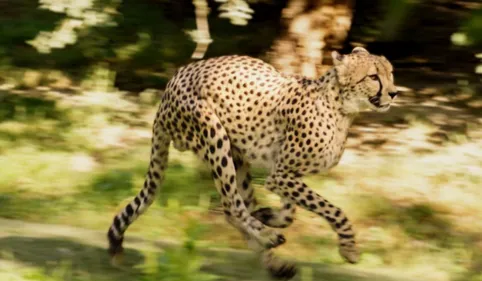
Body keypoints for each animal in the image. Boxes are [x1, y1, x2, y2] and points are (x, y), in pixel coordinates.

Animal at [107, 46, 398, 278]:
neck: (340, 107)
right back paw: (268, 236)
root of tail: (172, 82)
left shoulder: (285, 174)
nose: (395, 93)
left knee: (237, 207)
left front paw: (267, 215)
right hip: (215, 137)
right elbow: (334, 210)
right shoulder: (280, 175)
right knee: (232, 206)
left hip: (238, 158)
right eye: (373, 76)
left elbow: (290, 213)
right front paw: (349, 248)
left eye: (390, 73)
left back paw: (273, 260)